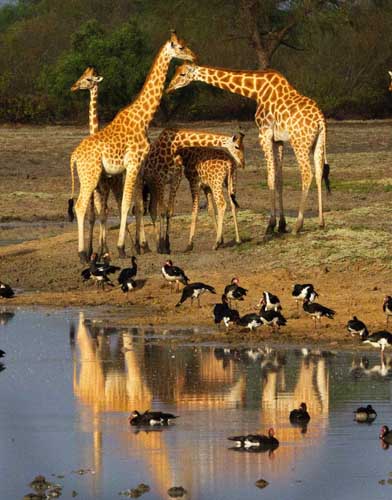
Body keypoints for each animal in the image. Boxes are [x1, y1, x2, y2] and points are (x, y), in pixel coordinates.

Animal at [70, 66, 125, 258]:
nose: (73, 86)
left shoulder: (104, 186)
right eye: (81, 75)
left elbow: (103, 214)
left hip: (116, 184)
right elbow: (93, 216)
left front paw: (103, 251)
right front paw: (92, 250)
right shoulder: (96, 188)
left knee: (119, 207)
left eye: (88, 79)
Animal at [166, 62, 330, 238]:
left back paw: (298, 226)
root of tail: (320, 120)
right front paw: (281, 225)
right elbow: (279, 179)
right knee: (319, 172)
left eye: (182, 74)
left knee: (307, 174)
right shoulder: (278, 140)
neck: (256, 90)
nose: (169, 87)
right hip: (318, 142)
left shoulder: (264, 134)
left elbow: (270, 178)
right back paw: (321, 222)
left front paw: (271, 225)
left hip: (299, 142)